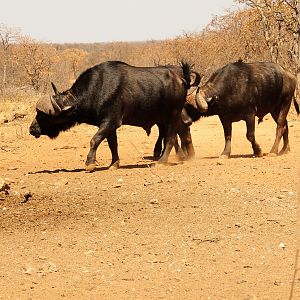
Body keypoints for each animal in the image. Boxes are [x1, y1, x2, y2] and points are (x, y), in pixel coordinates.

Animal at [29, 60, 200, 171]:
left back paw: (162, 161)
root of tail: (182, 79)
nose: (32, 129)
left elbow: (94, 140)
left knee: (170, 138)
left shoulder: (111, 122)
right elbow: (112, 144)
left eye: (43, 115)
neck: (97, 88)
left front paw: (90, 163)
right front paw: (114, 164)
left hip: (172, 116)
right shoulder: (108, 126)